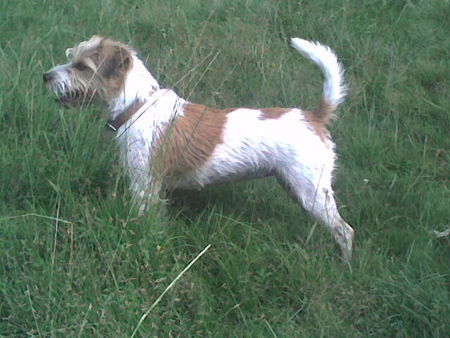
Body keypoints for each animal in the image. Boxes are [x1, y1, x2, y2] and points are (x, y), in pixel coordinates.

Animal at [43, 35, 356, 262]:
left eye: (81, 66)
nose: (46, 76)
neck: (138, 105)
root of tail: (313, 116)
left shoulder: (144, 184)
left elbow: (144, 217)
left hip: (311, 191)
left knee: (345, 231)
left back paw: (345, 265)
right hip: (299, 188)